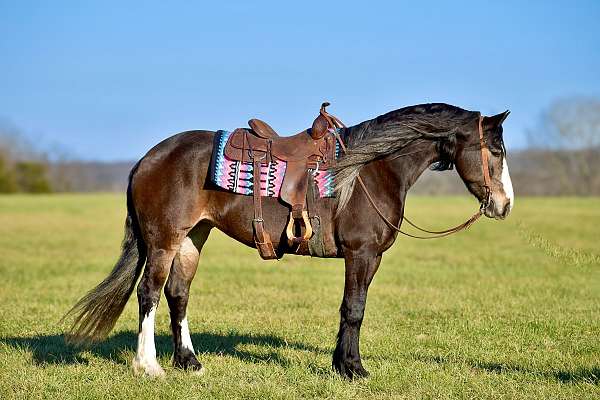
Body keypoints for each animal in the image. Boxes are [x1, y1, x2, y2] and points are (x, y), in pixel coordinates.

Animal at [65, 102, 516, 378]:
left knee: (178, 294)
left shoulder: (367, 258)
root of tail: (147, 159)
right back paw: (149, 366)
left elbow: (350, 310)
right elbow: (354, 309)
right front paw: (353, 369)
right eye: (495, 151)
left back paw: (189, 362)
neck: (372, 170)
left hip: (194, 237)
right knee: (149, 293)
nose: (505, 204)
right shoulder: (362, 254)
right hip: (164, 240)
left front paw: (341, 364)